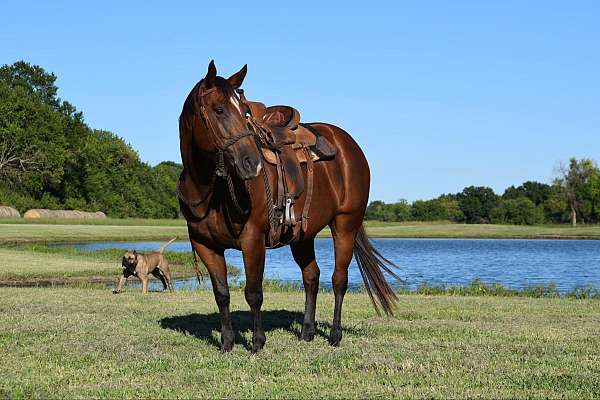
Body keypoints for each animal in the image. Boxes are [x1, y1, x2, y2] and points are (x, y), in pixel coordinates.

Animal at [177, 60, 398, 354]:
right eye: (219, 110)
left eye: (245, 112)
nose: (252, 163)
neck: (211, 190)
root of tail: (349, 145)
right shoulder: (205, 245)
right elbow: (221, 294)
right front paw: (226, 343)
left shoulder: (252, 239)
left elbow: (253, 293)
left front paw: (257, 343)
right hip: (303, 235)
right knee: (312, 277)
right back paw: (307, 332)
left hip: (345, 224)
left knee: (339, 279)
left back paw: (335, 335)